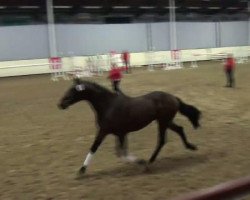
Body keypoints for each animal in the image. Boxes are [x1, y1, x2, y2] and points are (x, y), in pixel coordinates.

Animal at [58, 79, 201, 174]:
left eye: (73, 90)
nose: (61, 104)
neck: (108, 106)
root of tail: (173, 97)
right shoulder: (119, 134)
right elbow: (120, 153)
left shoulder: (106, 132)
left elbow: (96, 148)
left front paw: (81, 171)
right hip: (165, 121)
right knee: (179, 129)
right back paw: (191, 147)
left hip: (163, 122)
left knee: (161, 140)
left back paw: (150, 161)